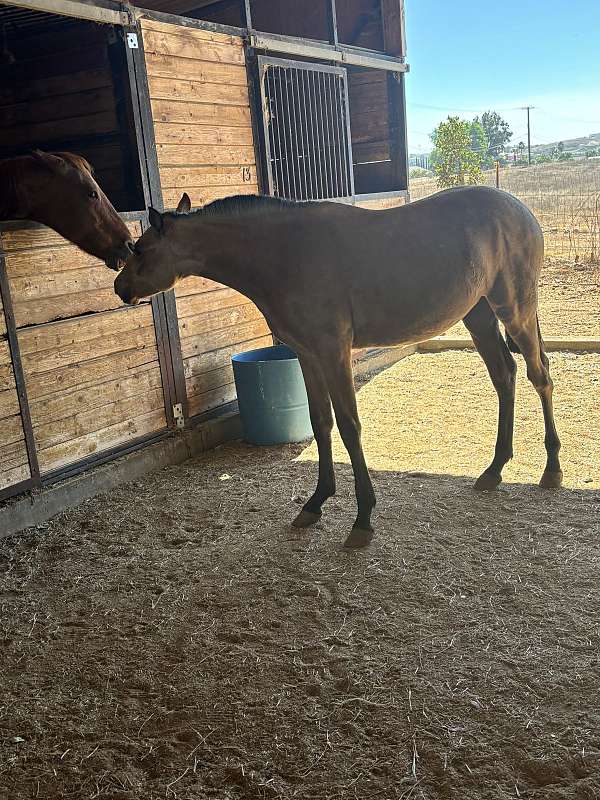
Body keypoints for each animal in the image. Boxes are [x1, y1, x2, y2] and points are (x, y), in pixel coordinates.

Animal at [113, 188, 564, 552]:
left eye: (140, 248)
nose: (120, 288)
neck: (285, 253)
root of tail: (521, 209)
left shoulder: (333, 353)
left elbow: (349, 426)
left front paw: (363, 519)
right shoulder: (308, 355)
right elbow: (320, 423)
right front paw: (315, 503)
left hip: (516, 309)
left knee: (539, 375)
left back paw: (551, 470)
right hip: (479, 314)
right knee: (504, 376)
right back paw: (495, 469)